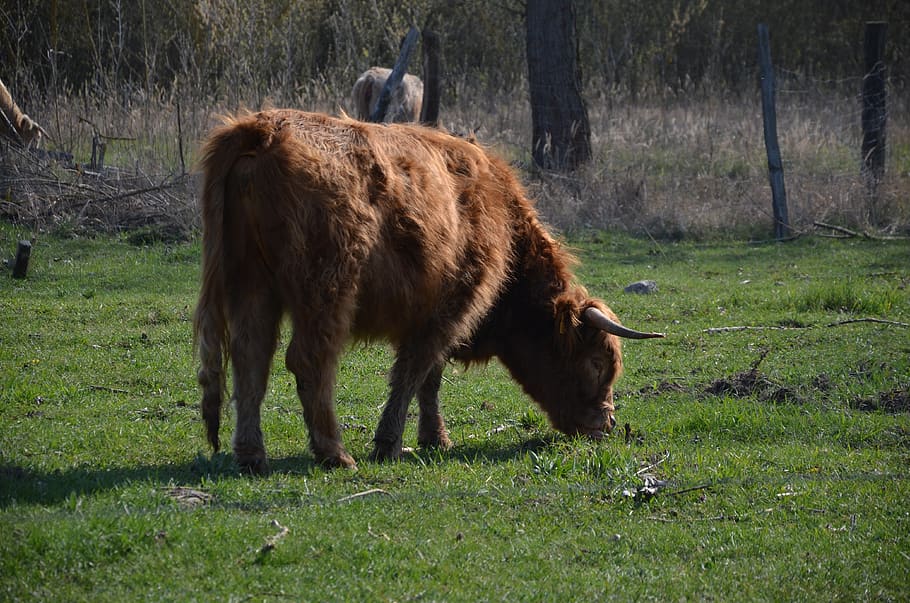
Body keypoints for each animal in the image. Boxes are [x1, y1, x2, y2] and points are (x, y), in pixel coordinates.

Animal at [194, 110, 663, 473]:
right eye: (598, 363)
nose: (606, 424)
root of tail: (262, 129)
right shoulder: (451, 305)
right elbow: (414, 373)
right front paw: (389, 443)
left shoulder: (432, 314)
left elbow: (428, 379)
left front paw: (433, 438)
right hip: (326, 288)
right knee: (310, 361)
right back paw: (334, 453)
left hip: (250, 284)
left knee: (251, 359)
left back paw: (251, 454)